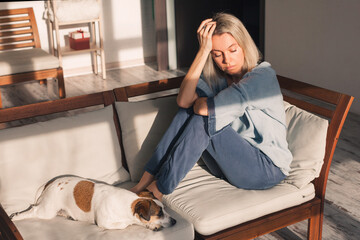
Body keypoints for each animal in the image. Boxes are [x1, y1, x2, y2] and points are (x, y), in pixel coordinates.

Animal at [9, 176, 176, 231]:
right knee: (33, 210)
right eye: (159, 213)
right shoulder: (104, 222)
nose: (175, 221)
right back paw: (16, 216)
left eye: (166, 209)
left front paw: (151, 225)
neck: (128, 203)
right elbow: (126, 224)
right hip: (46, 211)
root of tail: (50, 183)